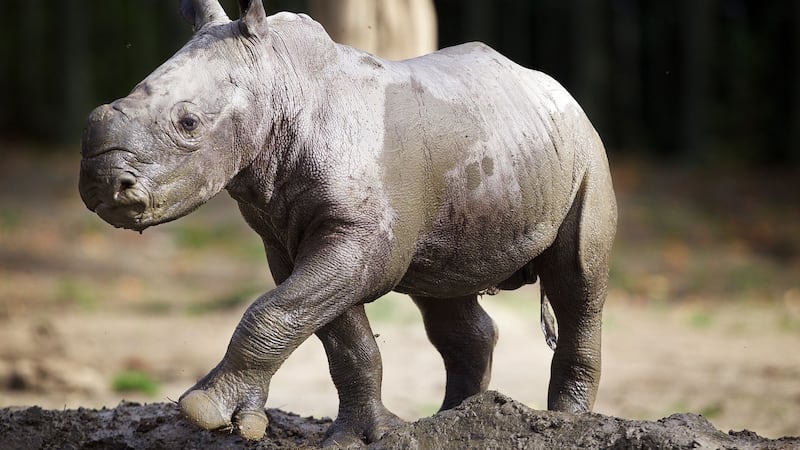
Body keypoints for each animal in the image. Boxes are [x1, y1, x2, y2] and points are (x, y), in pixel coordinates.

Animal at [79, 0, 617, 445]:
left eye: (188, 124)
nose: (104, 186)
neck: (281, 86)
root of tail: (554, 88)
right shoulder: (289, 239)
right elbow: (332, 334)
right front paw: (353, 436)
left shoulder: (360, 240)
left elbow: (276, 310)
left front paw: (203, 412)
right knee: (445, 289)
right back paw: (454, 419)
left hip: (585, 148)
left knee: (578, 280)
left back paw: (565, 422)